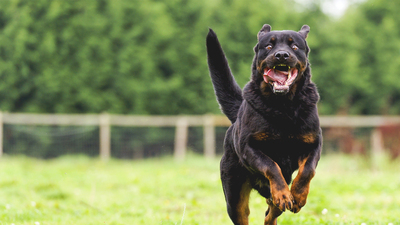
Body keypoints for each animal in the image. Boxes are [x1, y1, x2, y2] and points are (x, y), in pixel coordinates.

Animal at [206, 24, 322, 225]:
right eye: (268, 46)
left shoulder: (313, 144)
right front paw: (283, 194)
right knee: (246, 213)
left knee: (270, 213)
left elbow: (307, 170)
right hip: (234, 196)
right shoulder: (249, 147)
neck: (283, 106)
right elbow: (271, 166)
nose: (281, 55)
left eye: (294, 46)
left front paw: (298, 196)